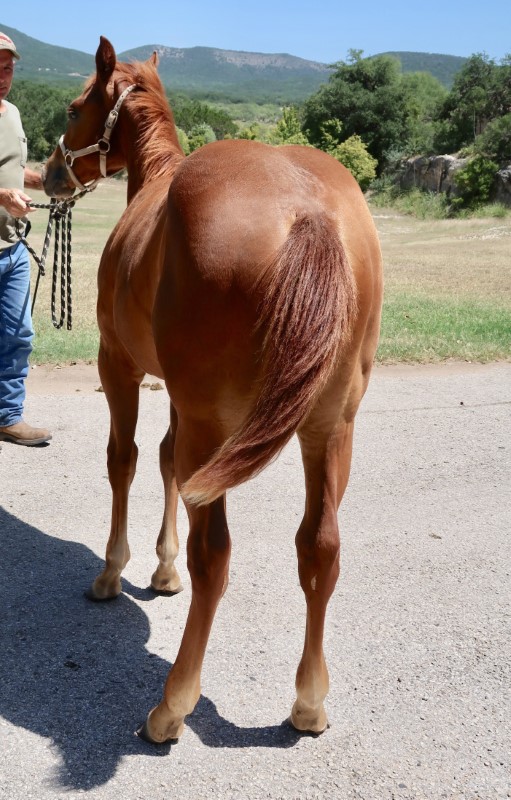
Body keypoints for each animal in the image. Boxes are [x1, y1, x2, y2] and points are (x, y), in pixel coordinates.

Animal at [42, 39, 382, 744]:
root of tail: (309, 208)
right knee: (321, 547)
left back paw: (172, 704)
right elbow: (166, 460)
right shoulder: (179, 394)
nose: (52, 172)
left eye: (73, 107)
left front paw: (113, 570)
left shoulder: (119, 365)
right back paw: (309, 702)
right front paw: (162, 567)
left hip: (214, 425)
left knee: (217, 557)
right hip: (330, 428)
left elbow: (125, 461)